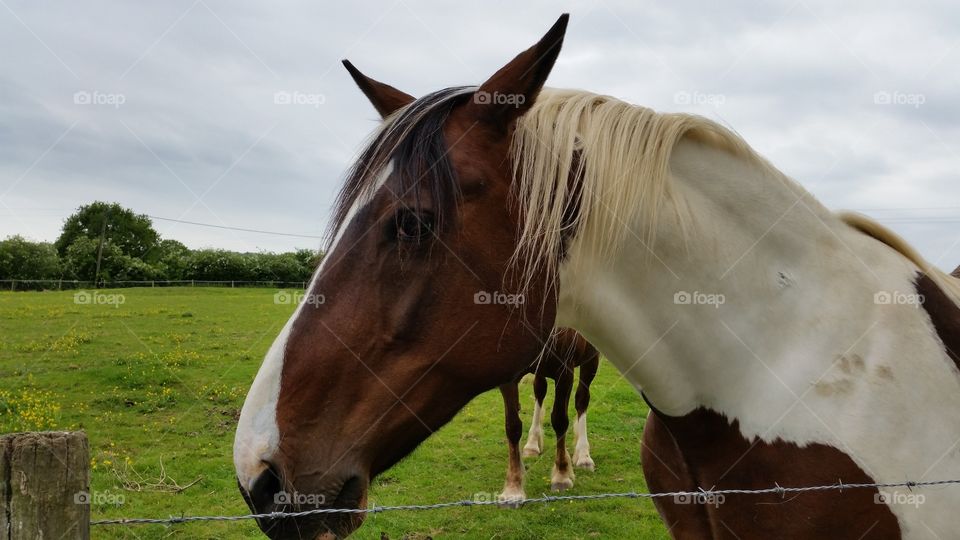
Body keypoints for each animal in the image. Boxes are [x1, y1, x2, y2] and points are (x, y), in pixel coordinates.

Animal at [498, 326, 596, 504]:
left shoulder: (565, 371)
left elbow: (560, 420)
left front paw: (562, 475)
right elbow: (512, 426)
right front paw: (513, 488)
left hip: (591, 359)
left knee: (582, 400)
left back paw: (583, 455)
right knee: (540, 390)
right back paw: (532, 443)